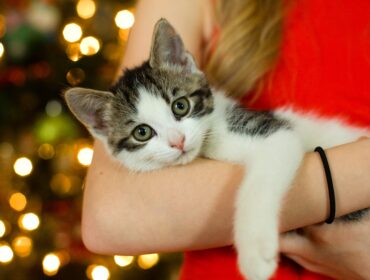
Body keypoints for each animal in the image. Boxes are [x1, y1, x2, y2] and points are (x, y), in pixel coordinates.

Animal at [64, 18, 370, 278]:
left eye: (181, 105)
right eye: (142, 132)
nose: (178, 141)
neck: (211, 139)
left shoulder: (277, 134)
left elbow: (258, 183)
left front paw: (254, 254)